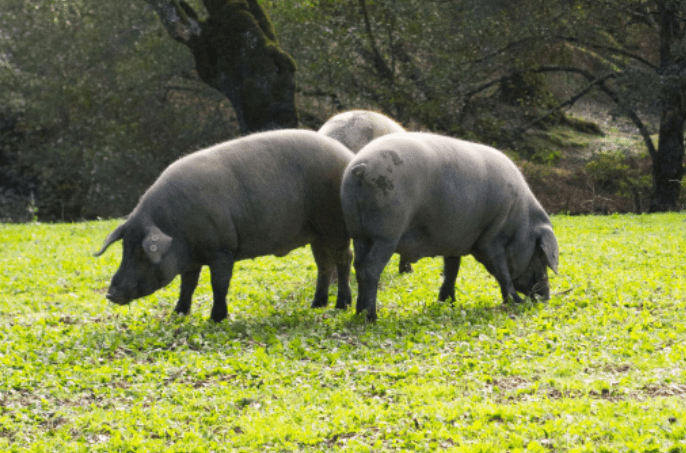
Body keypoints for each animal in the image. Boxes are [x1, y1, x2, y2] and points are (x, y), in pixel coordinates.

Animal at [95, 129, 354, 324]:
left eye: (142, 252)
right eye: (125, 249)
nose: (111, 294)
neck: (177, 228)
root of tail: (347, 154)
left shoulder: (222, 250)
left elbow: (218, 284)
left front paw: (215, 319)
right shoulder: (192, 260)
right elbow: (187, 285)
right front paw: (177, 315)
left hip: (336, 226)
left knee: (344, 260)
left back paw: (341, 306)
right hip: (317, 234)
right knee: (323, 263)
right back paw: (316, 305)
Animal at [342, 132, 560, 322]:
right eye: (540, 254)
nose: (546, 296)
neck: (520, 222)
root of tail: (362, 167)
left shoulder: (454, 240)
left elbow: (451, 269)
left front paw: (448, 302)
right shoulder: (490, 240)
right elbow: (501, 272)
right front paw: (517, 302)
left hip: (359, 234)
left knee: (358, 265)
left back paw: (358, 314)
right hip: (386, 235)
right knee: (370, 268)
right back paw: (371, 317)